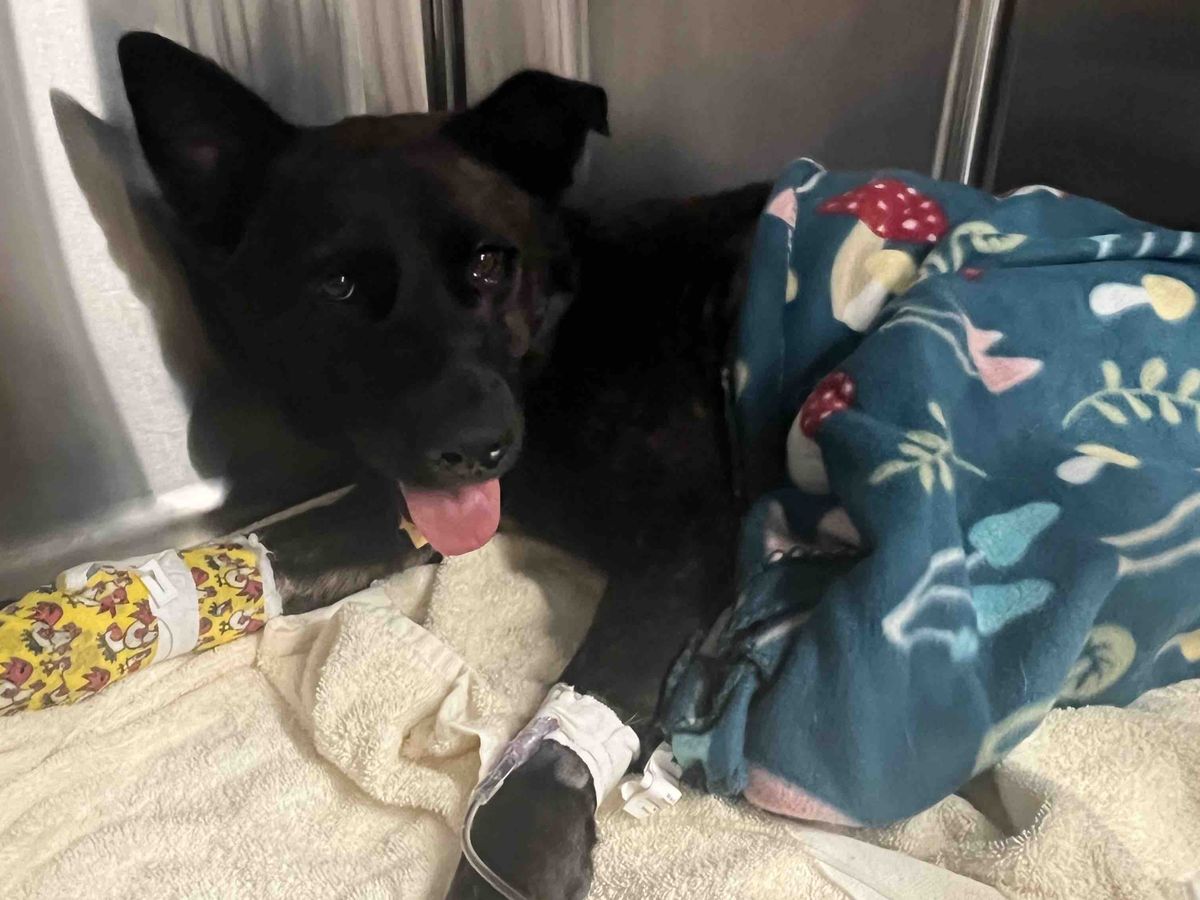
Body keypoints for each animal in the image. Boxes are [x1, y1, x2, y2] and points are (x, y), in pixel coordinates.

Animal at [119, 32, 764, 899]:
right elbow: (272, 552)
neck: (559, 354)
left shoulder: (686, 546)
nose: (476, 446)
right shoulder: (408, 508)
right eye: (339, 283)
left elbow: (558, 747)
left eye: (490, 264)